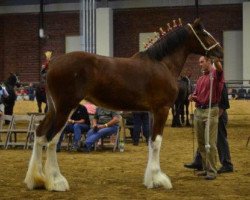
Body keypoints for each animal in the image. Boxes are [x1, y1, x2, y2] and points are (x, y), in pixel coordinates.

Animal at [23, 18, 223, 191]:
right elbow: (157, 142)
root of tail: (52, 64)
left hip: (53, 109)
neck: (162, 64)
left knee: (40, 134)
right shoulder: (162, 109)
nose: (220, 52)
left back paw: (36, 179)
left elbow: (150, 141)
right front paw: (158, 179)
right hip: (65, 108)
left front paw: (150, 179)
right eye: (204, 33)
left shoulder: (152, 112)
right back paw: (57, 181)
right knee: (52, 139)